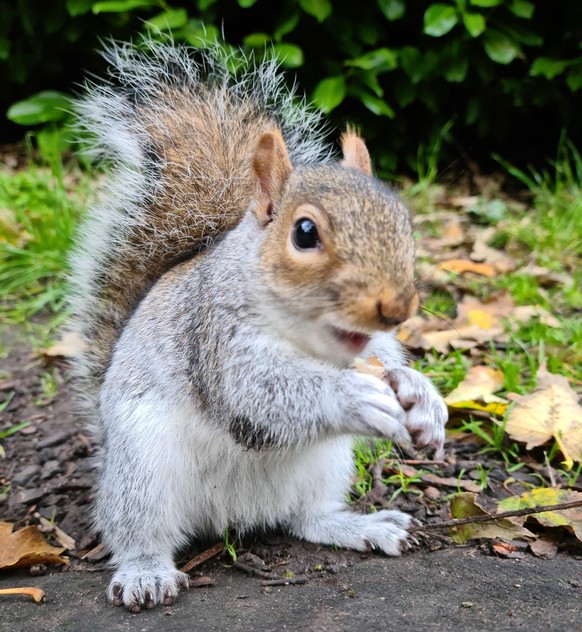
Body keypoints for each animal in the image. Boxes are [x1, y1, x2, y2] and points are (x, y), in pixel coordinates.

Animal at [69, 40, 452, 612]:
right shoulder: (213, 332)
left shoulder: (370, 345)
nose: (396, 307)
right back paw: (144, 573)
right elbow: (254, 394)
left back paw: (362, 527)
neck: (309, 341)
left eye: (403, 221)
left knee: (305, 518)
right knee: (138, 532)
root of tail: (232, 518)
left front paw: (421, 396)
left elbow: (387, 359)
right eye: (305, 233)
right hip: (143, 470)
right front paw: (351, 397)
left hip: (324, 467)